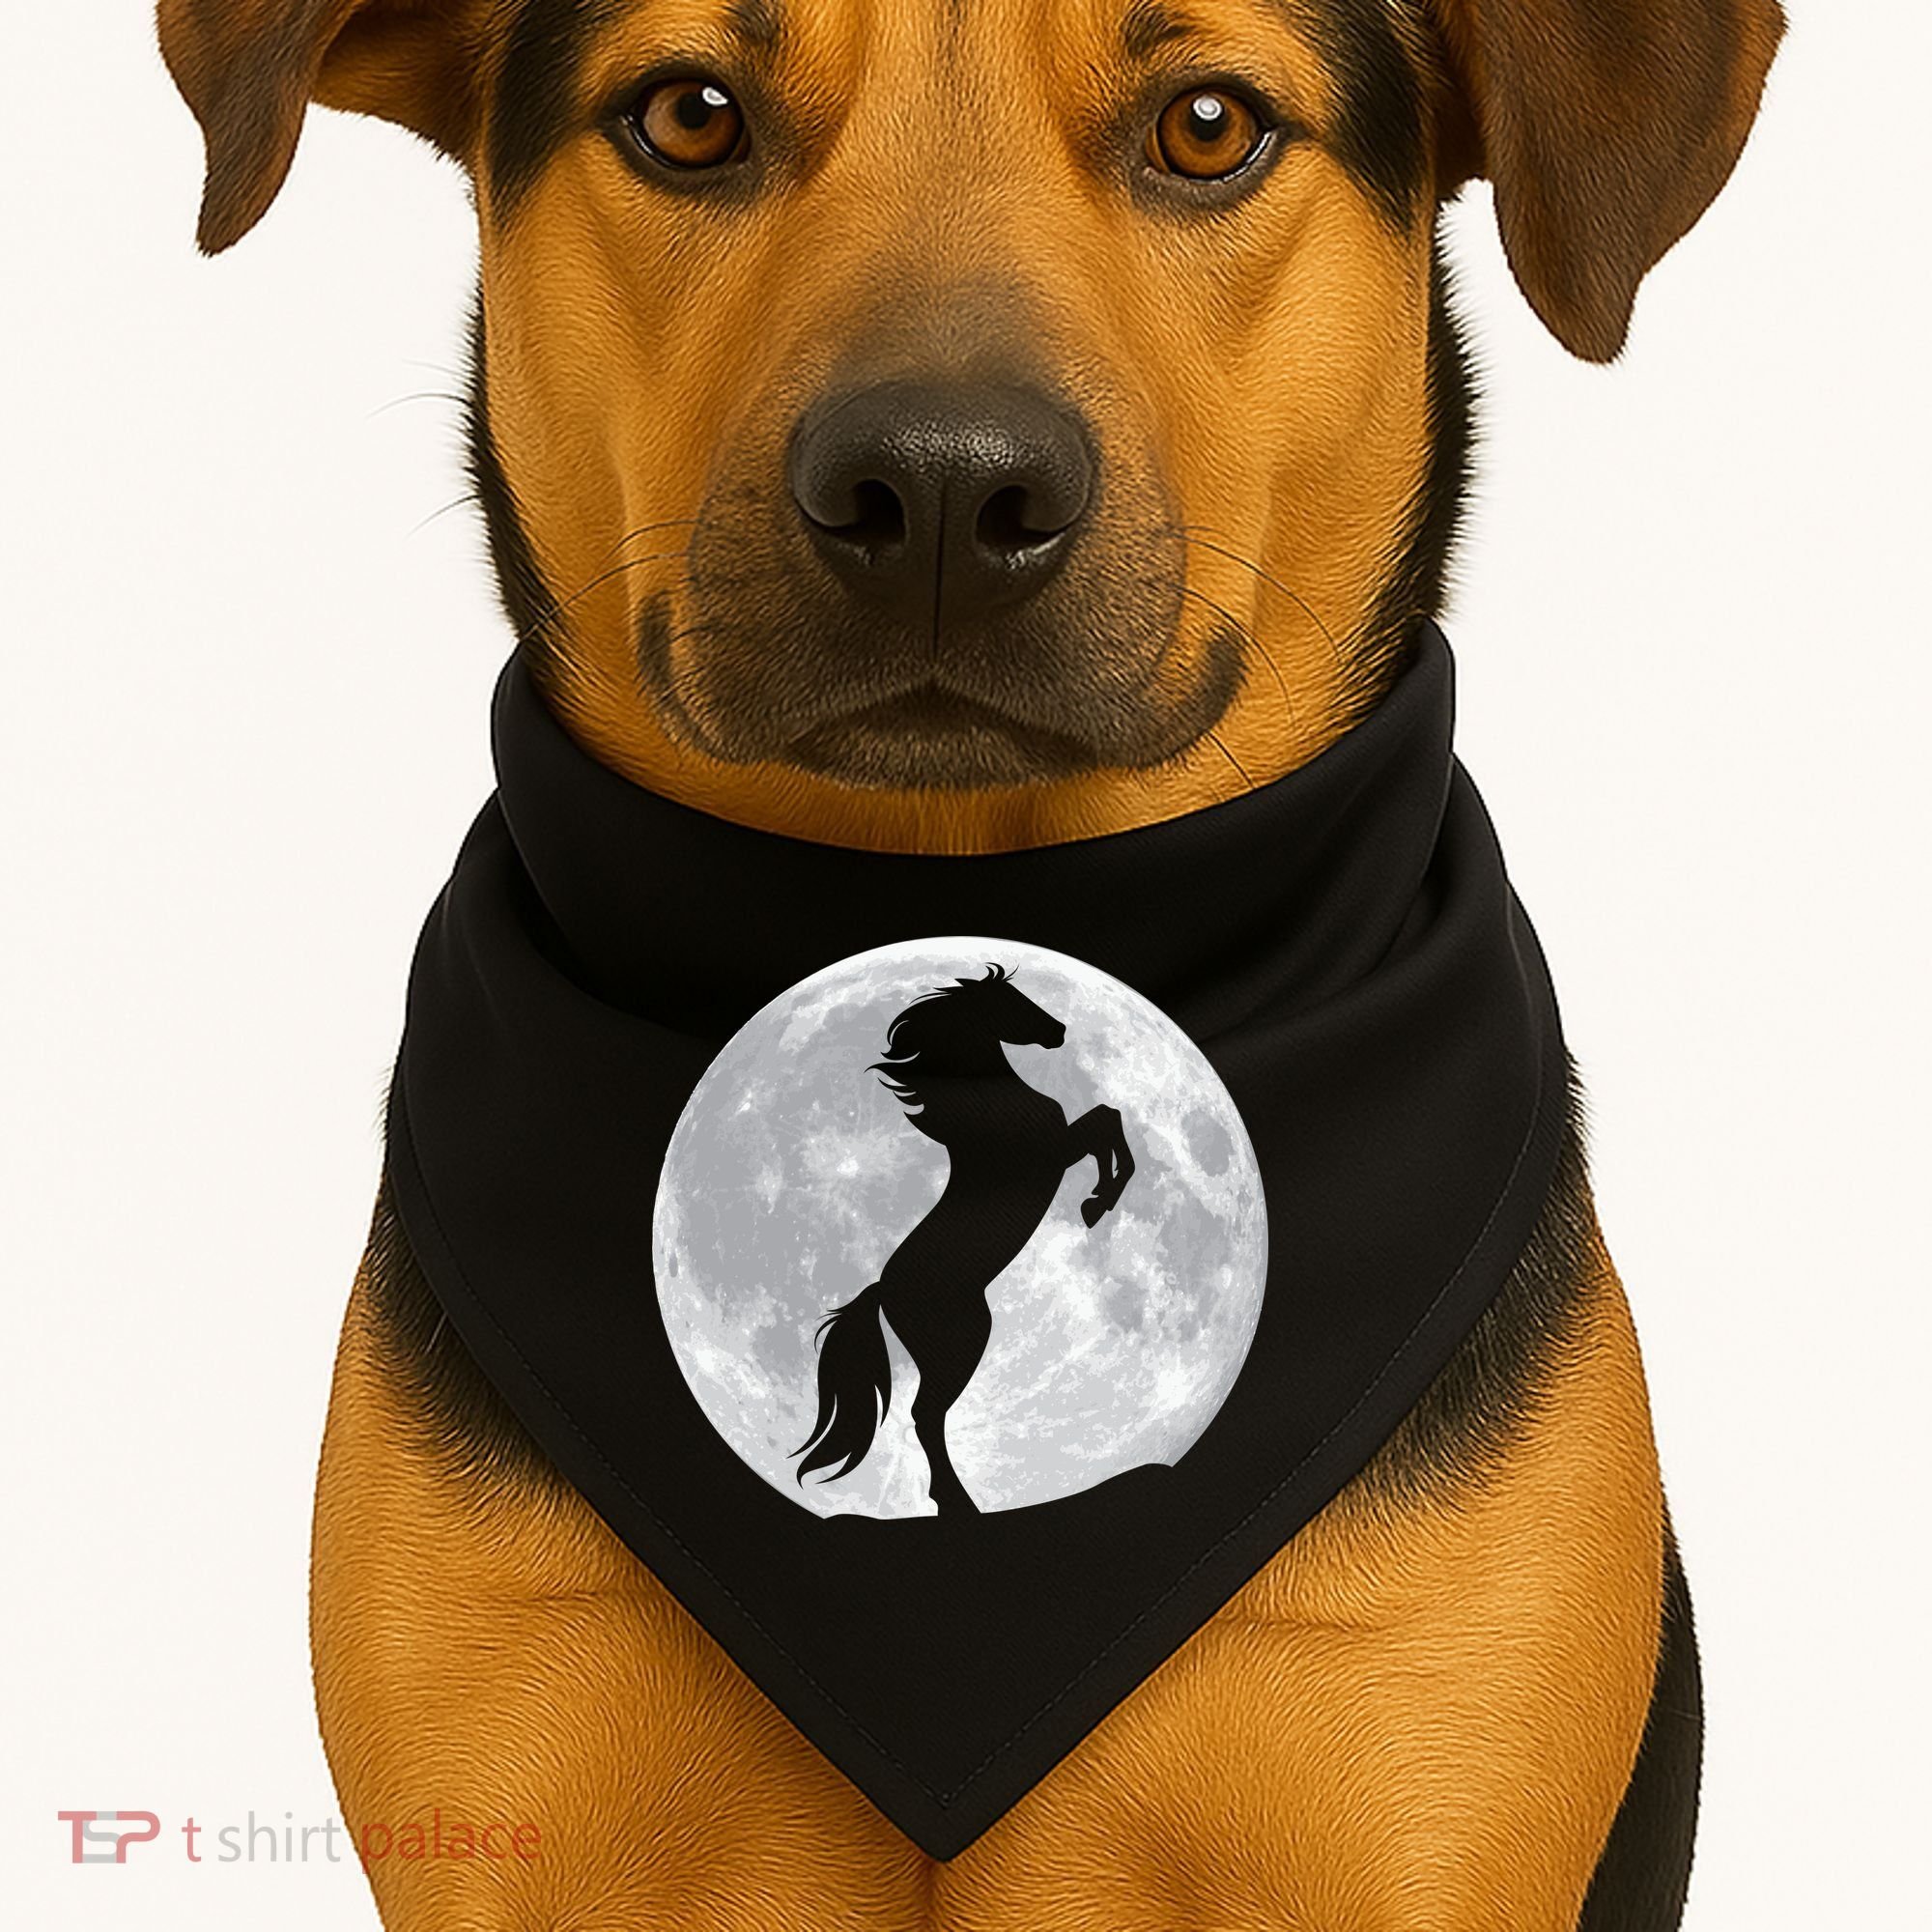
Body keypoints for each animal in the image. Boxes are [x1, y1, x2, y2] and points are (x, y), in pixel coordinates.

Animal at [794, 964, 1135, 1515]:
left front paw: (1094, 1202)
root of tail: (883, 1292)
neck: (984, 1104)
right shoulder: (1055, 1152)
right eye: (1011, 1002)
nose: (1059, 1030)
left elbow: (1107, 1118)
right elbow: (1107, 1121)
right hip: (961, 1344)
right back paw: (957, 1503)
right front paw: (1099, 1201)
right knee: (925, 1415)